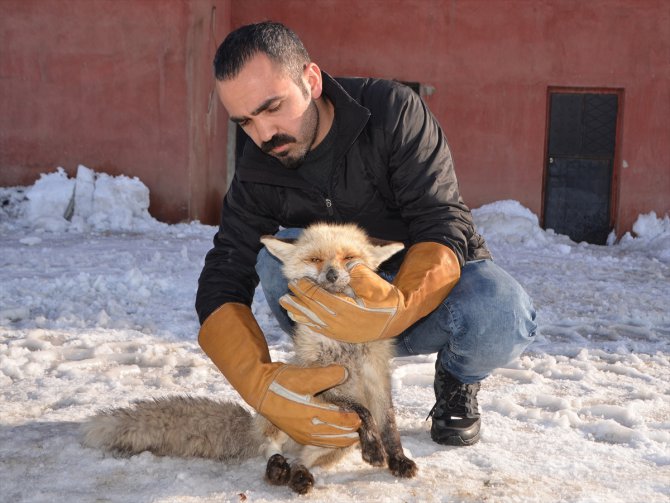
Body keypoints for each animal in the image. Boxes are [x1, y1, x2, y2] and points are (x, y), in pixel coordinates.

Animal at [81, 222, 418, 494]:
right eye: (315, 259)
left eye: (348, 258)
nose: (333, 274)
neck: (344, 344)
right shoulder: (320, 381)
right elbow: (361, 411)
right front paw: (374, 450)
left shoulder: (376, 377)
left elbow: (386, 422)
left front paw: (397, 459)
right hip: (285, 416)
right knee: (272, 448)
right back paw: (277, 469)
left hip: (335, 442)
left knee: (302, 460)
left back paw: (297, 476)